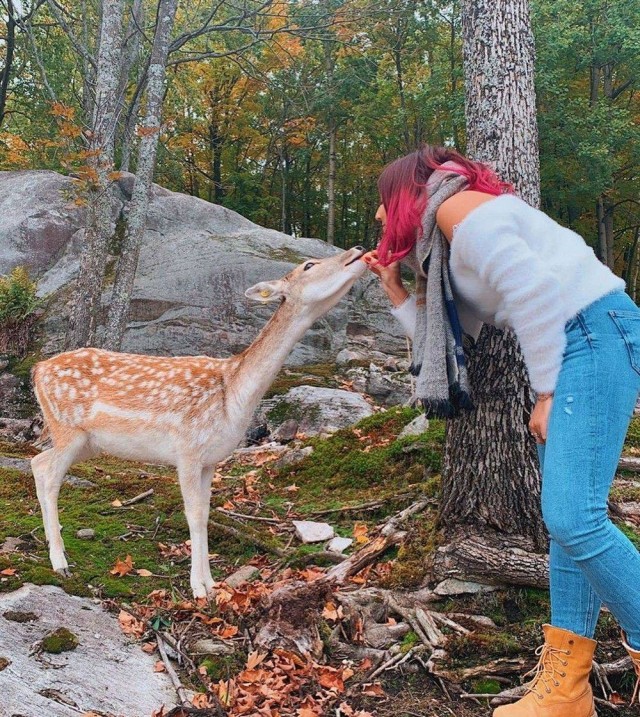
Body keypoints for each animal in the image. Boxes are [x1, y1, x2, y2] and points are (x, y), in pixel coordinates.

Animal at [30, 249, 368, 596]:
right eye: (308, 265)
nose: (357, 252)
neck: (233, 395)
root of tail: (37, 370)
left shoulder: (210, 460)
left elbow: (205, 514)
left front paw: (212, 582)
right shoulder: (187, 449)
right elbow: (192, 514)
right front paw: (198, 589)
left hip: (87, 442)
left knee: (37, 463)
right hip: (66, 427)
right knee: (49, 474)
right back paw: (60, 562)